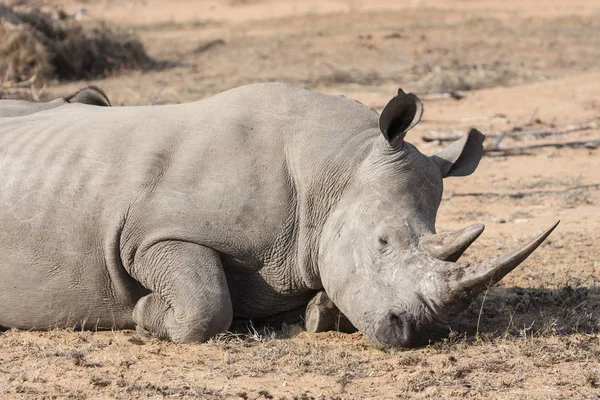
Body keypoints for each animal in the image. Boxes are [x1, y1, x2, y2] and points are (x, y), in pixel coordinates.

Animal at [0, 83, 556, 346]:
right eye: (381, 243)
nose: (419, 333)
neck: (333, 172)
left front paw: (318, 312)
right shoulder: (149, 235)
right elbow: (206, 306)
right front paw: (141, 314)